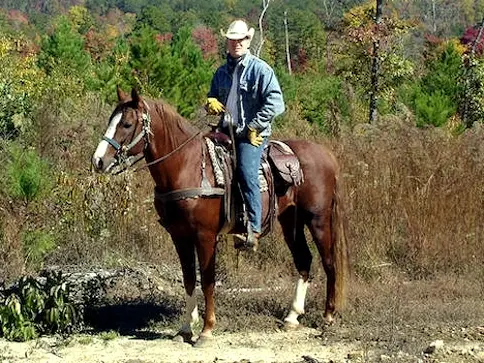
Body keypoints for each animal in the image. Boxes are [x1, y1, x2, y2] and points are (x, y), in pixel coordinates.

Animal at [91, 88, 348, 346]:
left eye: (126, 124)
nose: (98, 161)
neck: (187, 167)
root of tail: (327, 155)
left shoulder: (205, 236)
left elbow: (207, 280)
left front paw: (206, 330)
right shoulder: (179, 236)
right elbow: (188, 279)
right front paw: (185, 329)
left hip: (317, 219)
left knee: (329, 262)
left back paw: (328, 316)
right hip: (290, 222)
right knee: (304, 259)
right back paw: (292, 316)